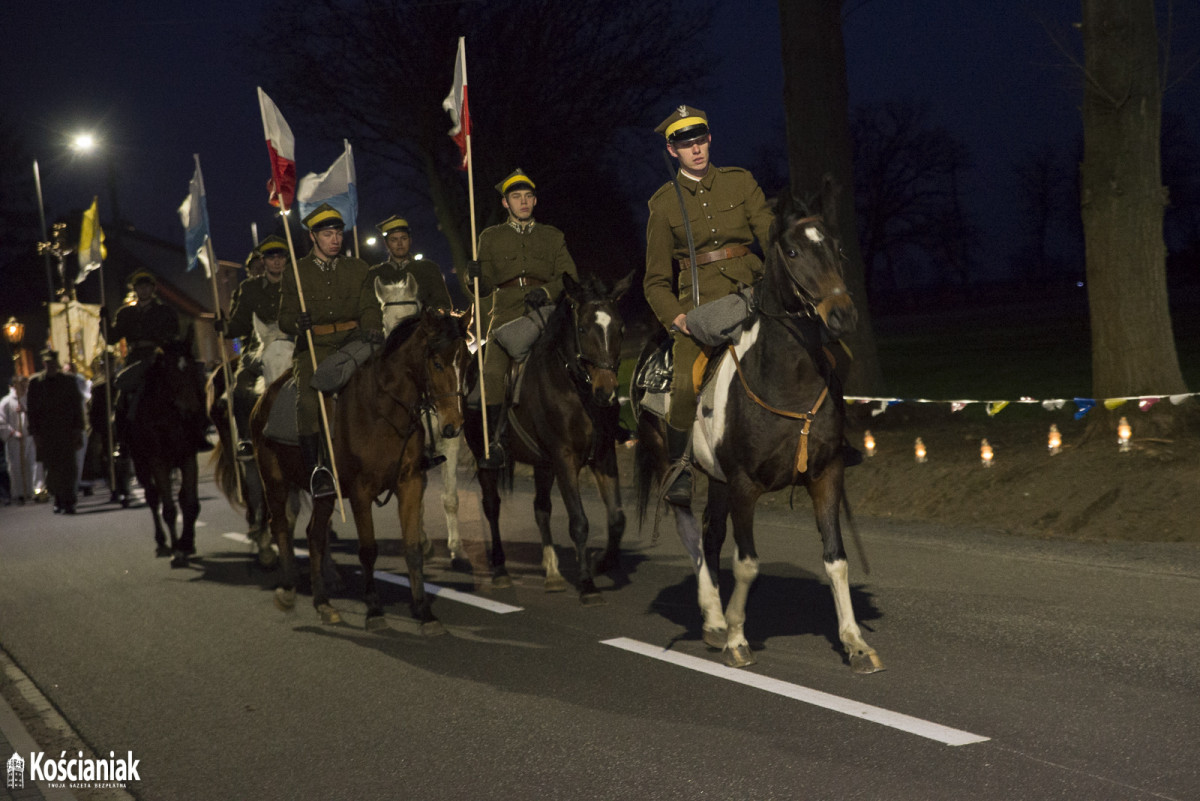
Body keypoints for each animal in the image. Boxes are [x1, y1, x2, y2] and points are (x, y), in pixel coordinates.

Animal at [127, 338, 205, 568]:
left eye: (193, 370)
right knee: (153, 498)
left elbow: (190, 504)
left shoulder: (188, 458)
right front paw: (177, 550)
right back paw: (162, 543)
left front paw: (186, 543)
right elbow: (169, 509)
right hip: (141, 464)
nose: (192, 409)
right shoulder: (158, 463)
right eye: (170, 374)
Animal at [252, 309, 468, 633]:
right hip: (275, 481)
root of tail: (266, 396)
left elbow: (412, 547)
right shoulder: (360, 492)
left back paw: (323, 602)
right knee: (281, 527)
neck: (383, 410)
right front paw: (374, 610)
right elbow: (368, 550)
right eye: (437, 363)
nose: (453, 425)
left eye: (464, 360)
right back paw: (289, 590)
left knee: (314, 534)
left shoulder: (410, 483)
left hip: (325, 494)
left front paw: (424, 612)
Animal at [379, 275, 463, 563]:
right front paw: (423, 541)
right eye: (384, 321)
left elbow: (450, 497)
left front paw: (456, 548)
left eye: (412, 313)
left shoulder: (450, 440)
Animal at [460, 272, 638, 604]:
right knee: (492, 506)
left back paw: (553, 573)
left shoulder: (603, 455)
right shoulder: (564, 458)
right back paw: (501, 570)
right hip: (484, 457)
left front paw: (602, 562)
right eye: (582, 328)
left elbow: (617, 518)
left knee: (541, 508)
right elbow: (579, 522)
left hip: (542, 464)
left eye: (620, 328)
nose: (607, 392)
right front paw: (587, 584)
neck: (575, 387)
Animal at [633, 178, 888, 671]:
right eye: (791, 251)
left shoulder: (826, 475)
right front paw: (736, 637)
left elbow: (836, 558)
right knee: (690, 531)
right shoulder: (744, 484)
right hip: (672, 462)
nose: (842, 315)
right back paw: (714, 618)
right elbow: (747, 562)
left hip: (716, 479)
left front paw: (854, 642)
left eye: (837, 247)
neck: (787, 380)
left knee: (709, 536)